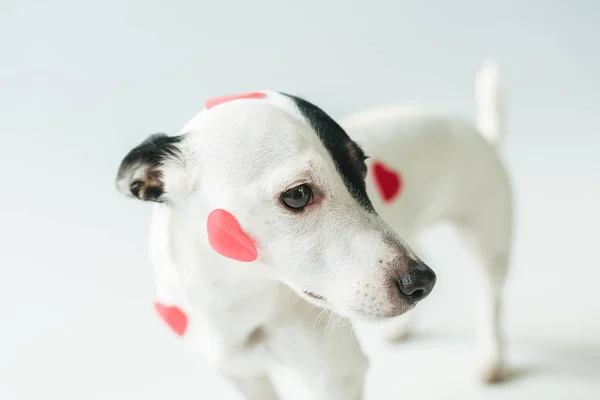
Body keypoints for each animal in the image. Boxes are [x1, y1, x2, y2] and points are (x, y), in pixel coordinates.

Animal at [116, 60, 510, 400]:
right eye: (297, 194)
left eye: (362, 170)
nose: (421, 283)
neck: (239, 297)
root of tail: (482, 135)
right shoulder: (243, 375)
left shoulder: (336, 377)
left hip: (488, 241)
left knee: (491, 297)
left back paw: (491, 356)